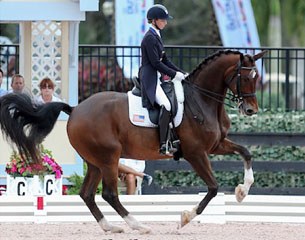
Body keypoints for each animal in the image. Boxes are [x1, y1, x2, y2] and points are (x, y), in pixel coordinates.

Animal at [0, 49, 264, 233]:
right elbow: (213, 188)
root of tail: (74, 110)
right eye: (245, 77)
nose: (251, 110)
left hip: (95, 162)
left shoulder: (216, 145)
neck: (201, 99)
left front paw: (242, 191)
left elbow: (246, 153)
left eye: (257, 77)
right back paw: (138, 225)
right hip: (109, 157)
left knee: (87, 194)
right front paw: (185, 218)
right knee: (109, 194)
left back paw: (110, 227)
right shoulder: (196, 153)